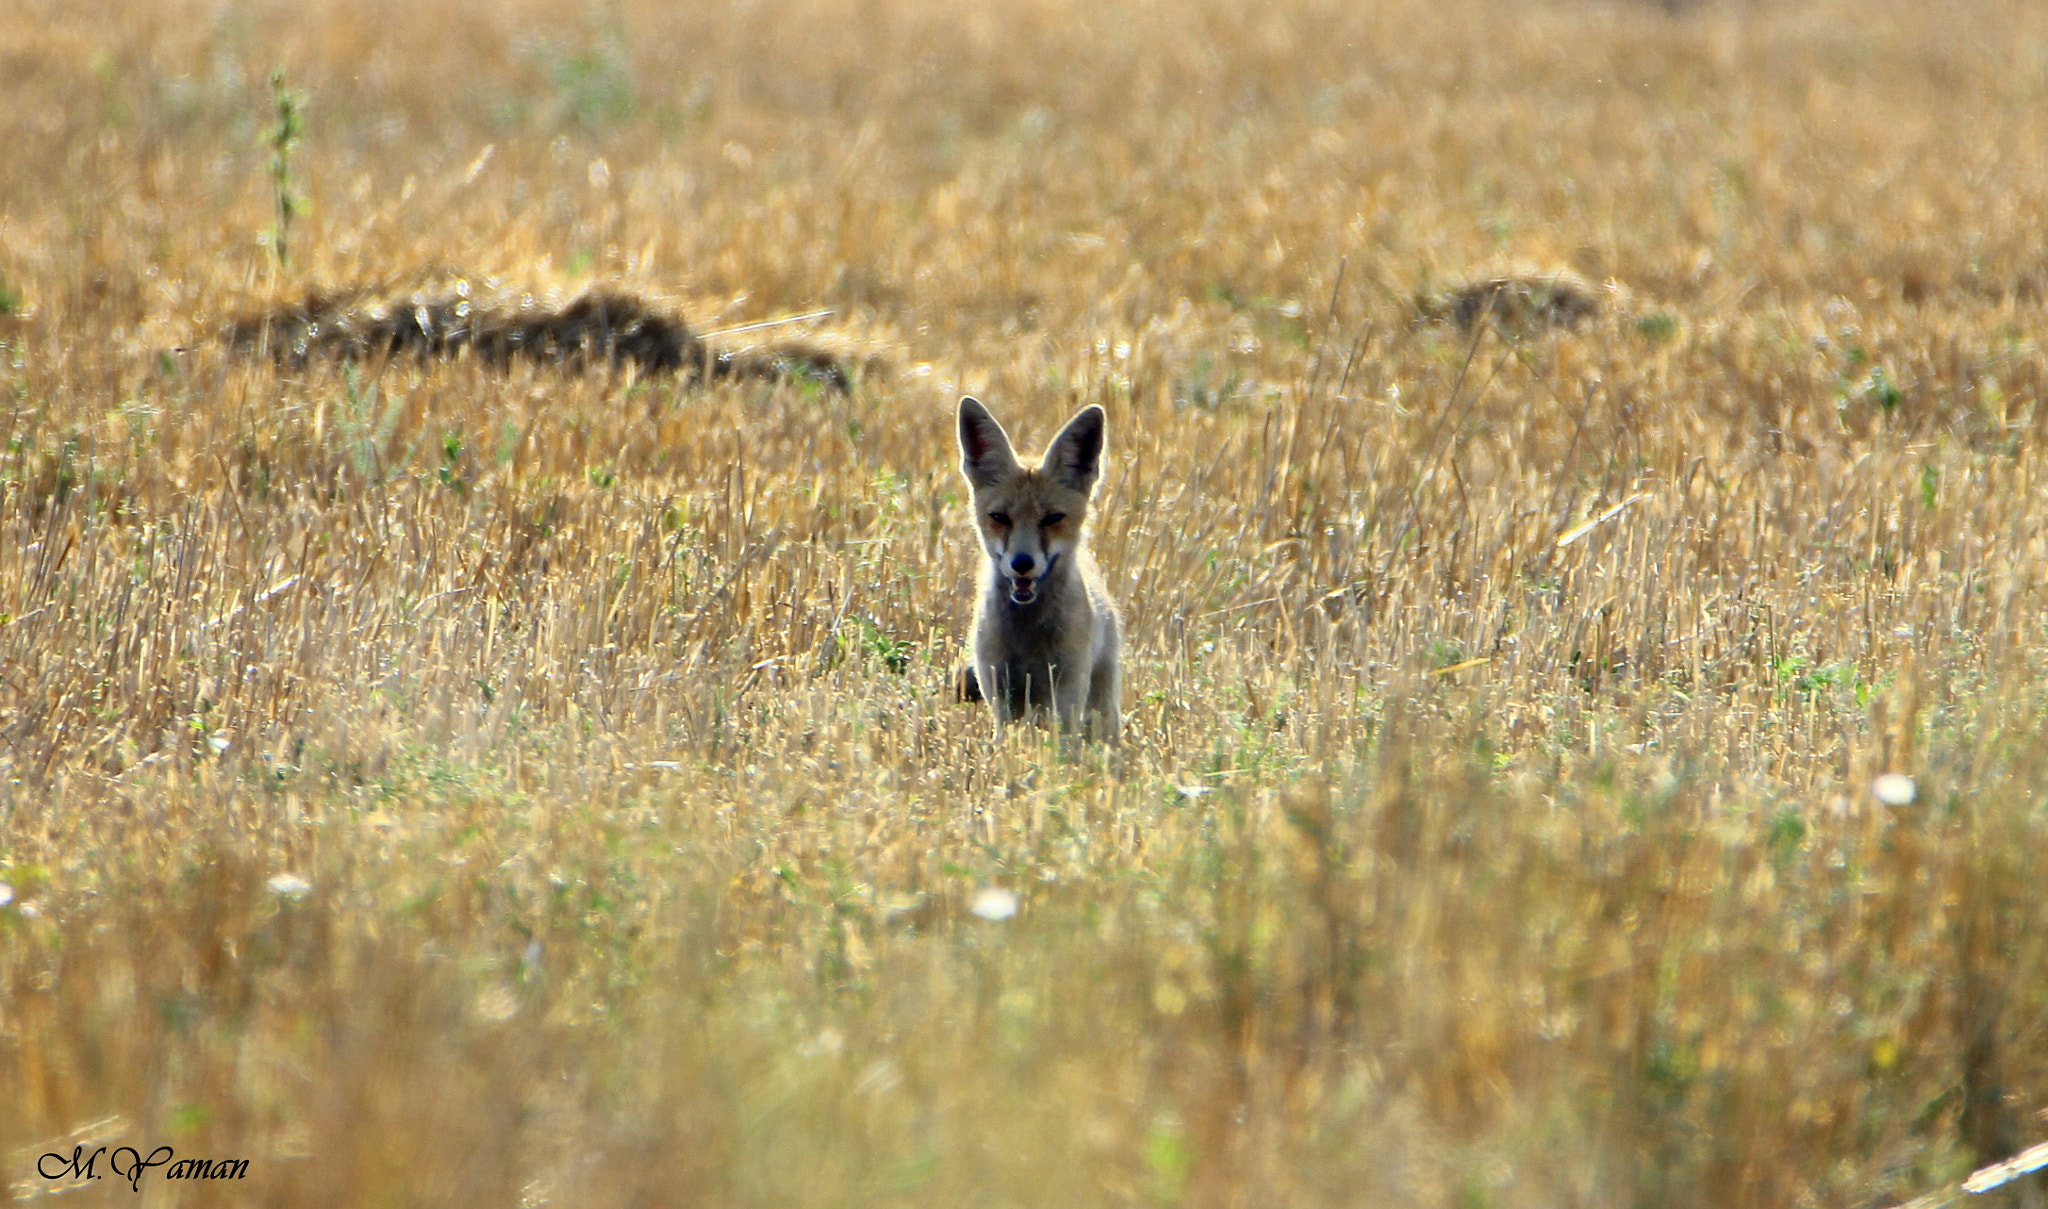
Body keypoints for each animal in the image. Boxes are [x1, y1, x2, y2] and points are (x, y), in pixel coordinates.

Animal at [956, 396, 1122, 742]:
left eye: (1052, 519)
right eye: (1000, 517)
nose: (1022, 564)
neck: (1028, 639)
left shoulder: (1067, 691)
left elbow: (1062, 745)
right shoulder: (1000, 693)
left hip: (1099, 702)